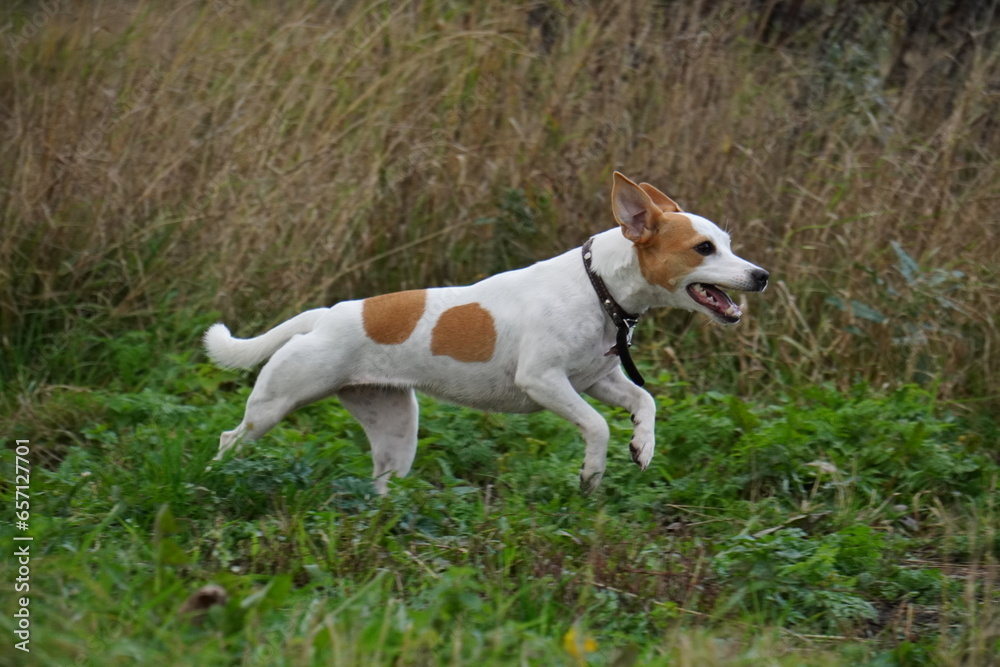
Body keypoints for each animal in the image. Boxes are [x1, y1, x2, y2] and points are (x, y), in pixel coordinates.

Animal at [201, 174, 764, 496]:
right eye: (704, 248)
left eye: (728, 243)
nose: (761, 275)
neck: (597, 286)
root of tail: (325, 314)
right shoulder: (544, 381)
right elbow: (597, 427)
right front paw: (592, 473)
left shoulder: (596, 380)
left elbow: (645, 401)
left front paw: (643, 446)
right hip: (276, 404)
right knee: (231, 438)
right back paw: (217, 479)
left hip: (396, 430)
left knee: (383, 480)